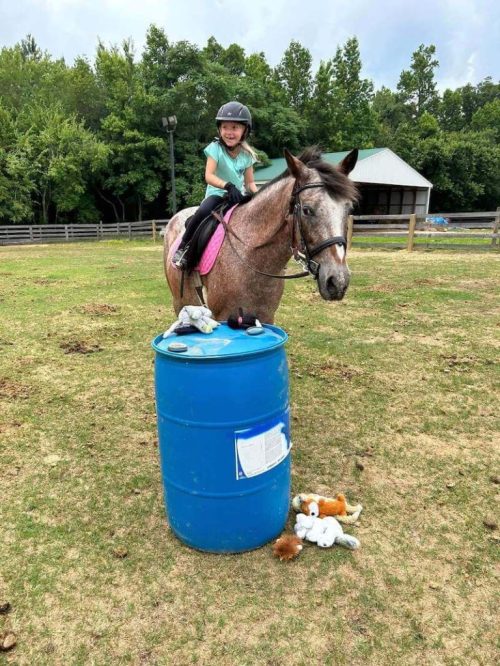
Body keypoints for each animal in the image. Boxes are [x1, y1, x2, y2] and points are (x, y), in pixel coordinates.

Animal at [165, 147, 360, 322]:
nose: (338, 281)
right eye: (306, 210)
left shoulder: (266, 316)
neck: (251, 257)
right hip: (180, 303)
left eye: (349, 209)